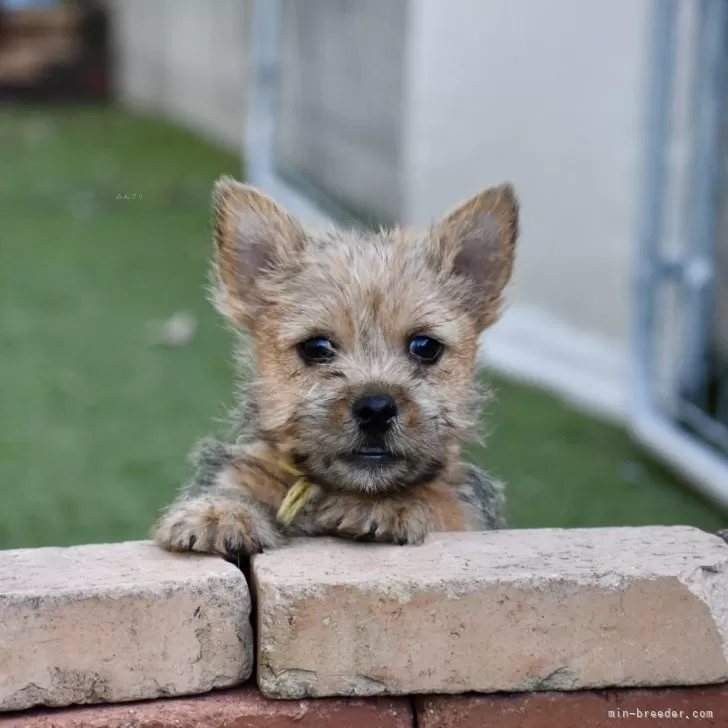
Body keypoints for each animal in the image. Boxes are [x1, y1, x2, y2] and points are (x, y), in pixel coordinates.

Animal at [154, 176, 516, 556]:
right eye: (316, 347)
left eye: (426, 346)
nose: (376, 408)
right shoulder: (245, 469)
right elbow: (237, 484)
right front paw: (220, 513)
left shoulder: (468, 508)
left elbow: (441, 501)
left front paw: (386, 506)